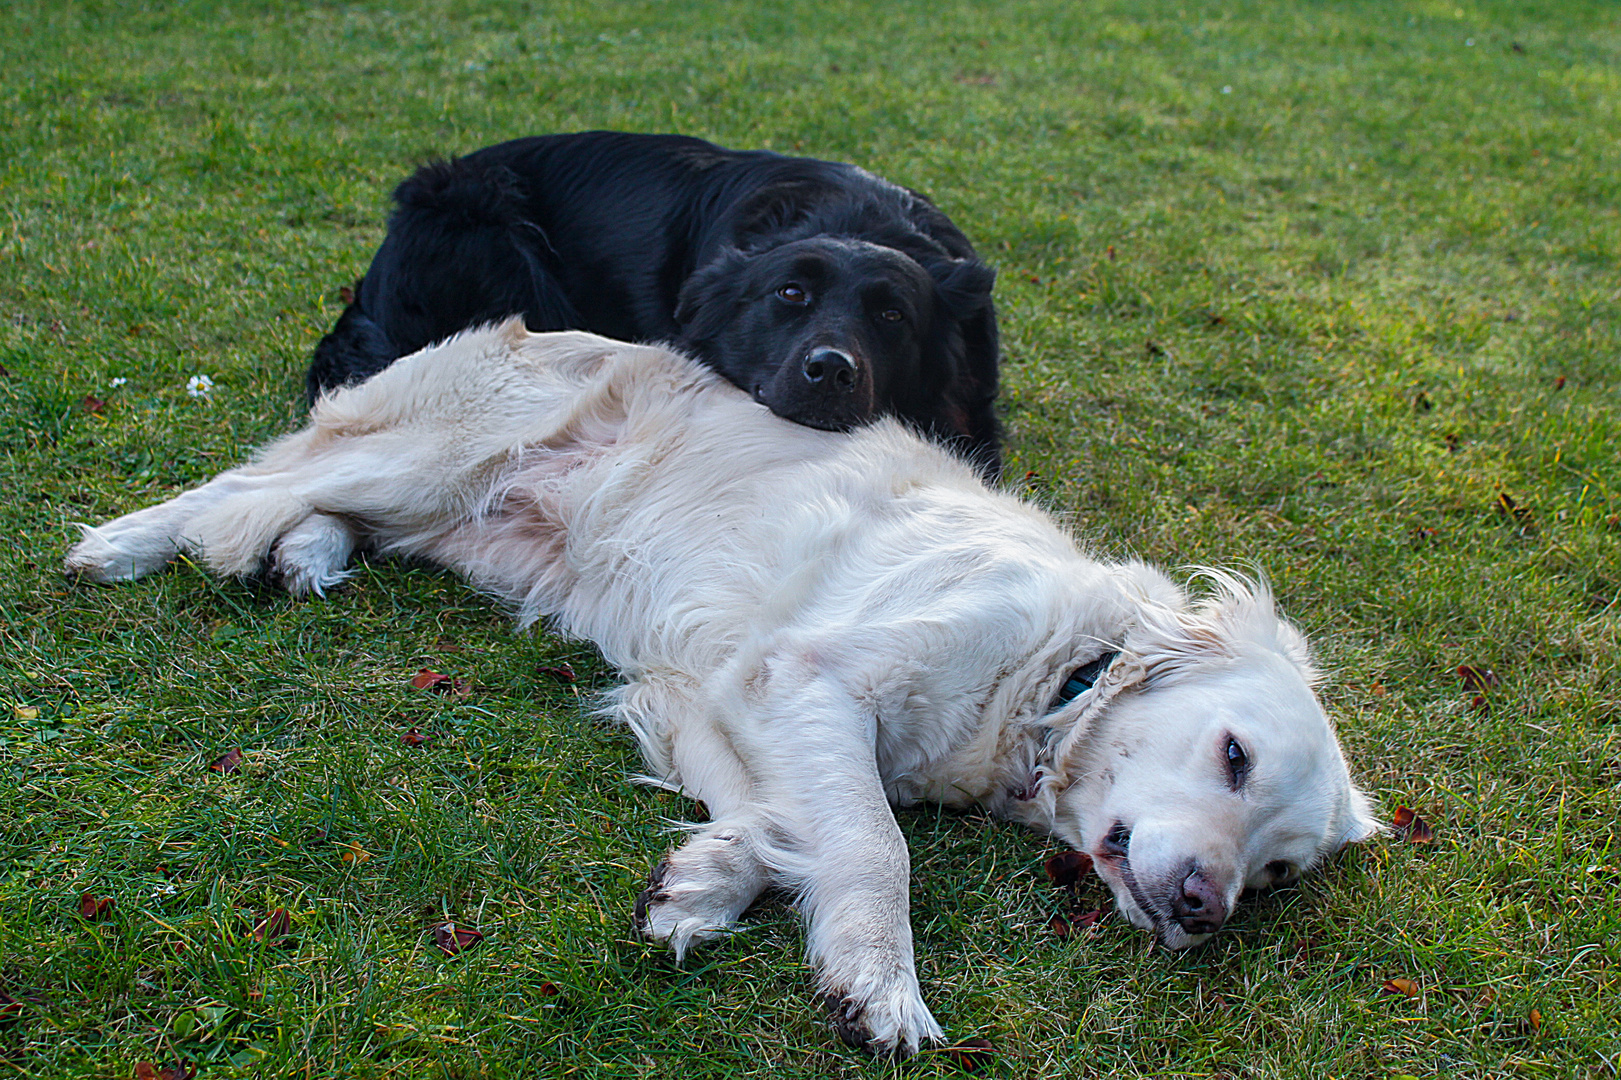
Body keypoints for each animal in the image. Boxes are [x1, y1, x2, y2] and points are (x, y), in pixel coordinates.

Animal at [69, 319, 1374, 1050]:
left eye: (1279, 872)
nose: (1204, 908)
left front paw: (705, 885)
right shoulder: (808, 673)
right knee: (249, 483)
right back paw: (126, 543)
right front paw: (879, 982)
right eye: (1231, 755)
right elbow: (872, 841)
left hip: (462, 523)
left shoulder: (707, 691)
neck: (1057, 673)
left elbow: (780, 822)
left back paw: (307, 555)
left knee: (314, 506)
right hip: (433, 456)